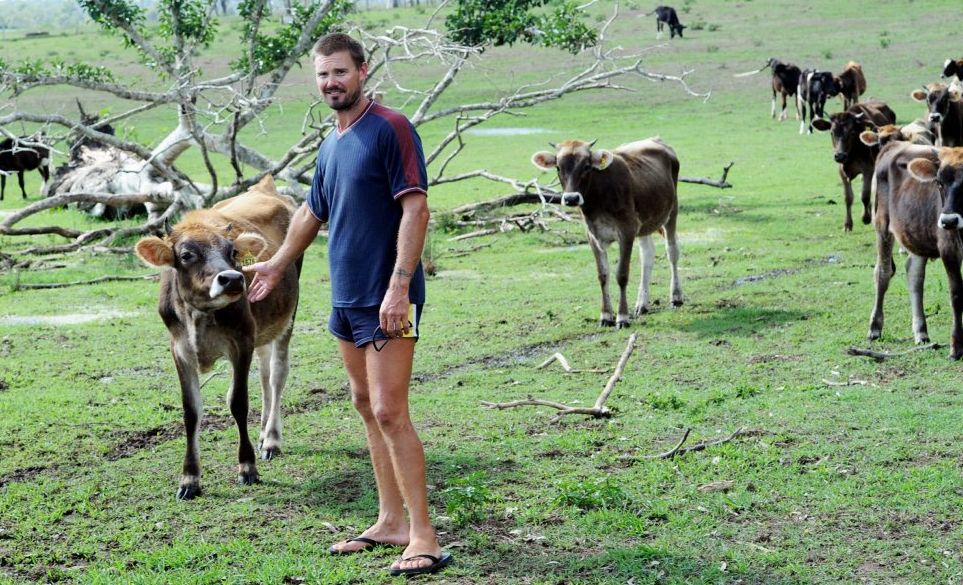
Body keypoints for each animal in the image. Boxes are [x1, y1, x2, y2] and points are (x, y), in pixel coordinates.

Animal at [135, 173, 302, 498]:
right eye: (187, 255)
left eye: (233, 252)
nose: (234, 278)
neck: (200, 315)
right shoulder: (180, 350)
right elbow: (191, 411)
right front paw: (189, 479)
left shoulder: (241, 341)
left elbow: (237, 401)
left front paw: (247, 468)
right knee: (265, 374)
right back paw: (262, 433)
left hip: (287, 317)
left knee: (277, 374)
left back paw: (272, 438)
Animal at [532, 138, 680, 328]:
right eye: (558, 167)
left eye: (587, 166)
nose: (571, 198)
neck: (598, 201)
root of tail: (655, 139)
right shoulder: (593, 235)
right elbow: (603, 275)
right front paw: (606, 316)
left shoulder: (627, 230)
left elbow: (622, 275)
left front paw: (622, 317)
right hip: (644, 223)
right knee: (647, 255)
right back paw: (642, 304)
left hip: (671, 211)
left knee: (672, 252)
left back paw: (676, 297)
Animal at [812, 99, 896, 229]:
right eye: (832, 132)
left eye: (852, 132)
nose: (840, 155)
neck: (852, 153)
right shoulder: (842, 172)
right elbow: (848, 197)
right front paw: (847, 224)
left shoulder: (868, 169)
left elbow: (865, 195)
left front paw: (866, 218)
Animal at [868, 143, 963, 358]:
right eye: (939, 183)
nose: (949, 221)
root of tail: (895, 144)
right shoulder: (949, 249)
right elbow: (956, 294)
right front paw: (956, 347)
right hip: (882, 224)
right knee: (883, 273)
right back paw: (875, 327)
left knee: (914, 275)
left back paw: (921, 331)